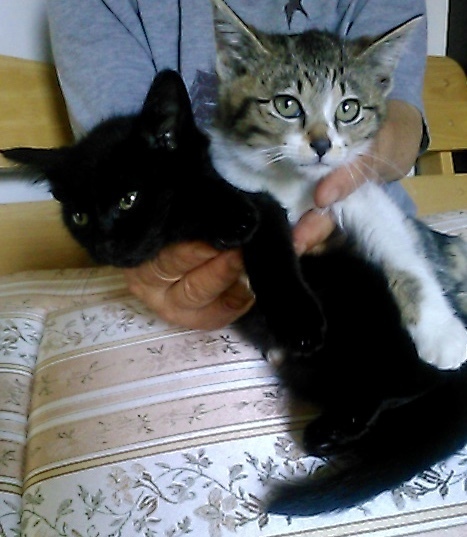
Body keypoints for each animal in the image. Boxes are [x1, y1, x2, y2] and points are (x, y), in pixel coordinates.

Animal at [209, 0, 467, 372]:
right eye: (286, 104)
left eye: (348, 109)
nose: (321, 145)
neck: (293, 180)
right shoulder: (233, 176)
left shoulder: (356, 188)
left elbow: (399, 248)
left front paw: (441, 331)